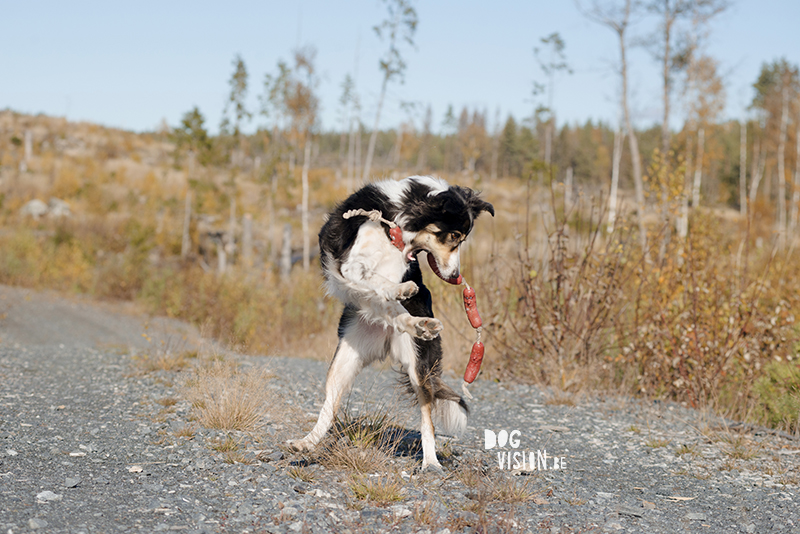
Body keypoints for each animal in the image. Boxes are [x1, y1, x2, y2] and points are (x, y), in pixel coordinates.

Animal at [290, 177, 494, 474]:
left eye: (462, 239)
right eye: (454, 236)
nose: (456, 276)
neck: (396, 222)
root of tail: (385, 338)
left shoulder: (395, 266)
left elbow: (387, 288)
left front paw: (404, 294)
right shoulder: (349, 264)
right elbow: (374, 281)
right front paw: (400, 290)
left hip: (418, 366)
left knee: (427, 421)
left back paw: (431, 462)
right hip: (343, 362)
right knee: (330, 407)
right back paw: (306, 443)